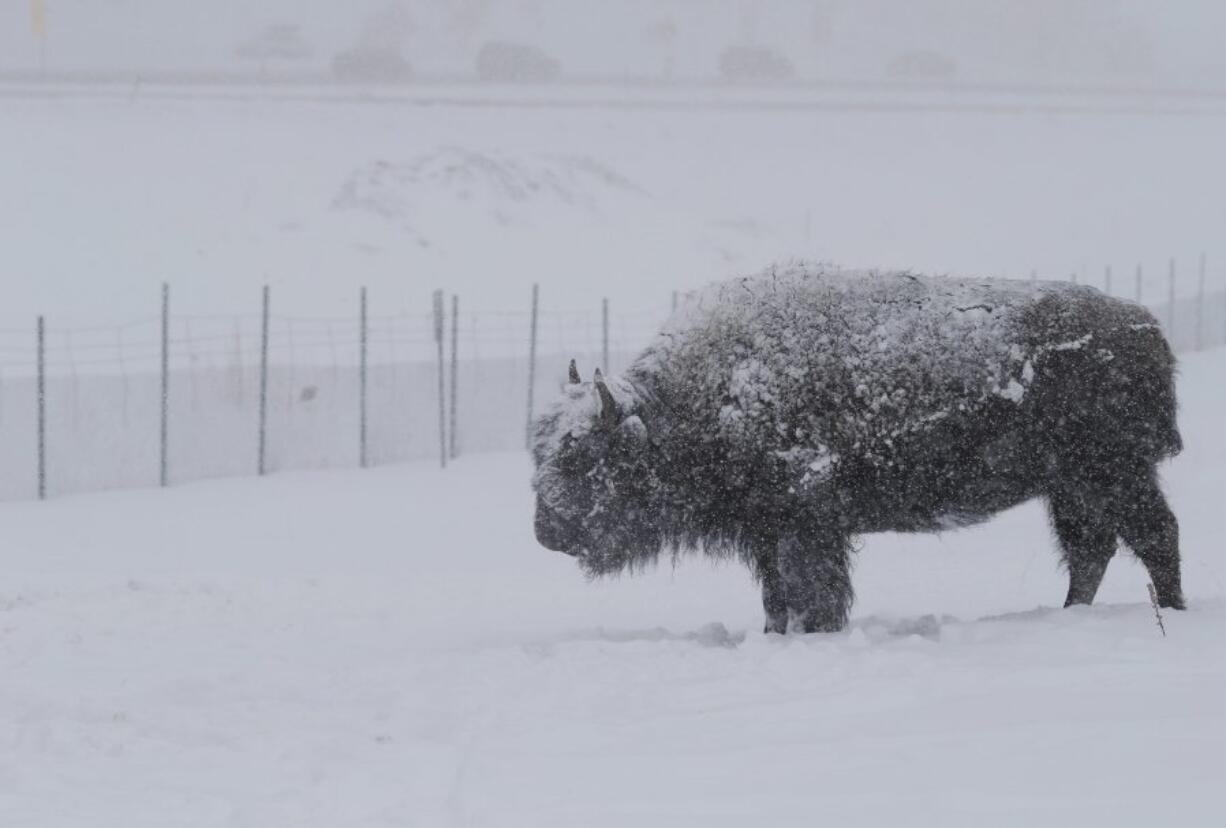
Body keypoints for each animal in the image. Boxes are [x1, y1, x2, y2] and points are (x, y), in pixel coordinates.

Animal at [532, 266, 1181, 632]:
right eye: (541, 451)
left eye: (582, 458)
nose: (545, 531)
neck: (689, 402)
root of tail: (1145, 325)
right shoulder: (768, 532)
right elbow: (777, 598)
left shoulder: (807, 526)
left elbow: (811, 593)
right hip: (1073, 485)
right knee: (1091, 550)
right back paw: (1073, 615)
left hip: (1115, 474)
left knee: (1153, 536)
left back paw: (1170, 613)